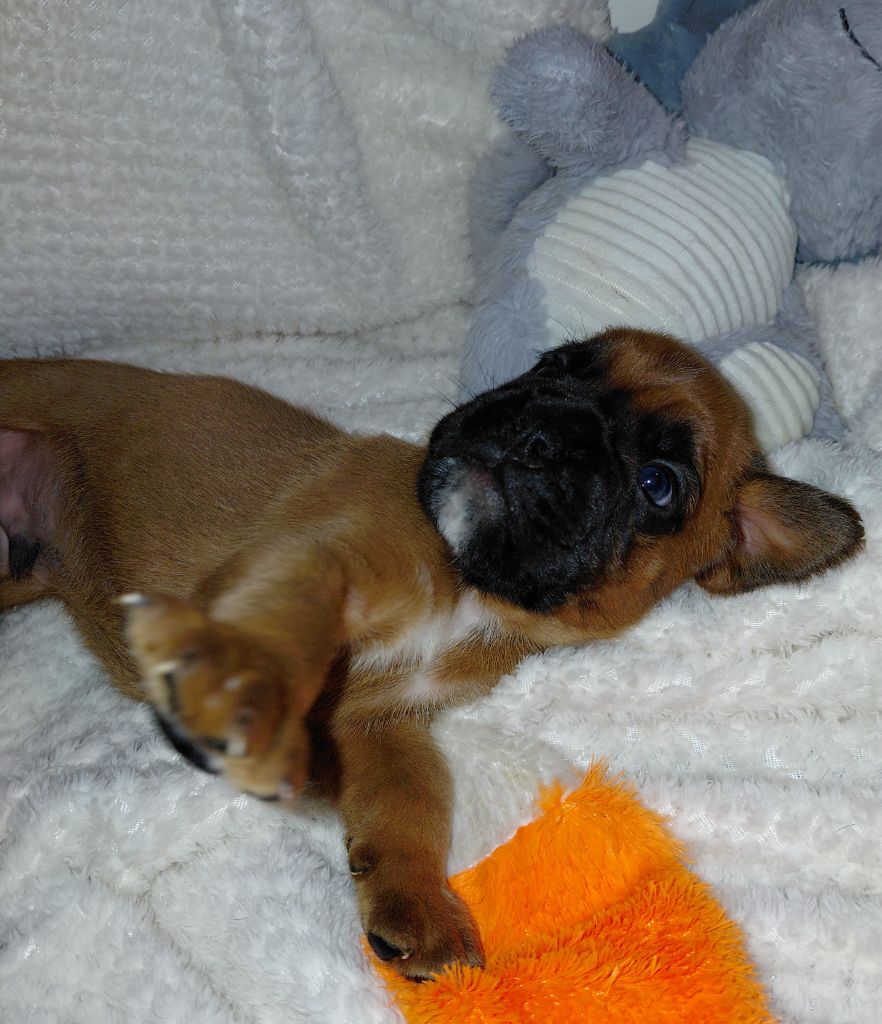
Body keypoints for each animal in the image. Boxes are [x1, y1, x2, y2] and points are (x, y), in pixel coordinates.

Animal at [0, 328, 863, 980]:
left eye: (658, 483)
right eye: (555, 364)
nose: (537, 434)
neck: (465, 586)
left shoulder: (385, 721)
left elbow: (411, 804)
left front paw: (414, 904)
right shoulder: (312, 559)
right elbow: (282, 622)